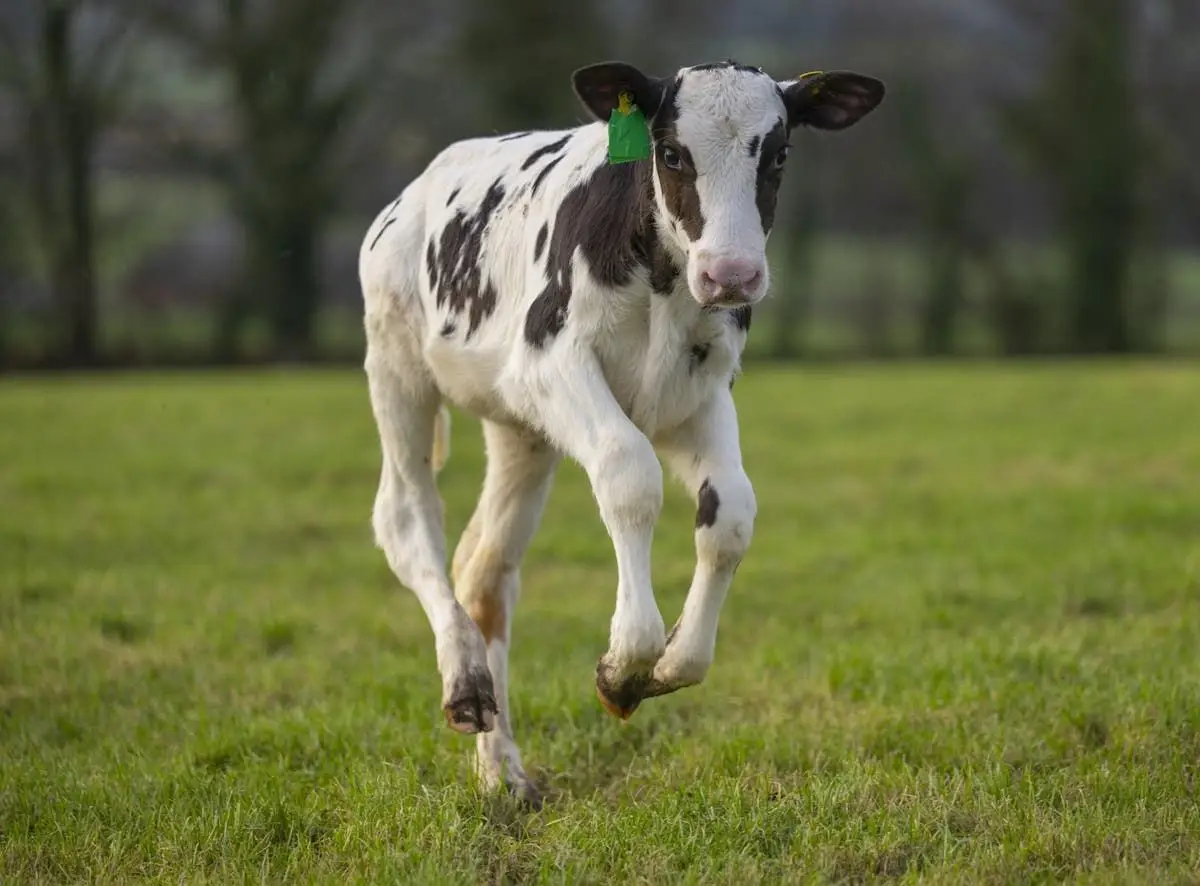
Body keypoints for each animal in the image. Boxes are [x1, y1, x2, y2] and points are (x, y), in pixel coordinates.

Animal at [358, 59, 884, 804]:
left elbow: (731, 515)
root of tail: (415, 190)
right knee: (406, 516)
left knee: (484, 570)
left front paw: (665, 666)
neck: (663, 285)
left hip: (521, 431)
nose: (732, 274)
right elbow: (629, 476)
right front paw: (628, 660)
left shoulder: (700, 395)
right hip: (397, 365)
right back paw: (464, 681)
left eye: (779, 154)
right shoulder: (552, 360)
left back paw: (501, 770)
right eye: (671, 153)